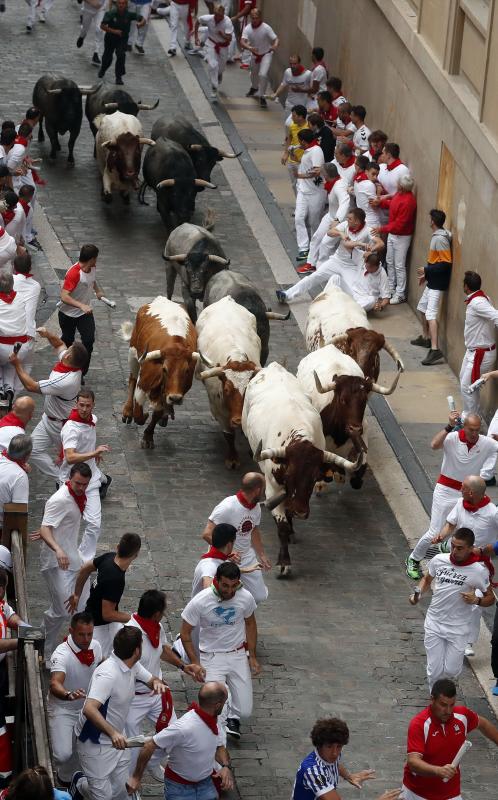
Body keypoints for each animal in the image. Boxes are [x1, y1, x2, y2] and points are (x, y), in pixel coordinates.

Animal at [196, 296, 262, 468]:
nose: (238, 420)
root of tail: (227, 300)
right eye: (226, 390)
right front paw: (232, 459)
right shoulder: (220, 411)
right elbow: (229, 435)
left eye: (248, 389)